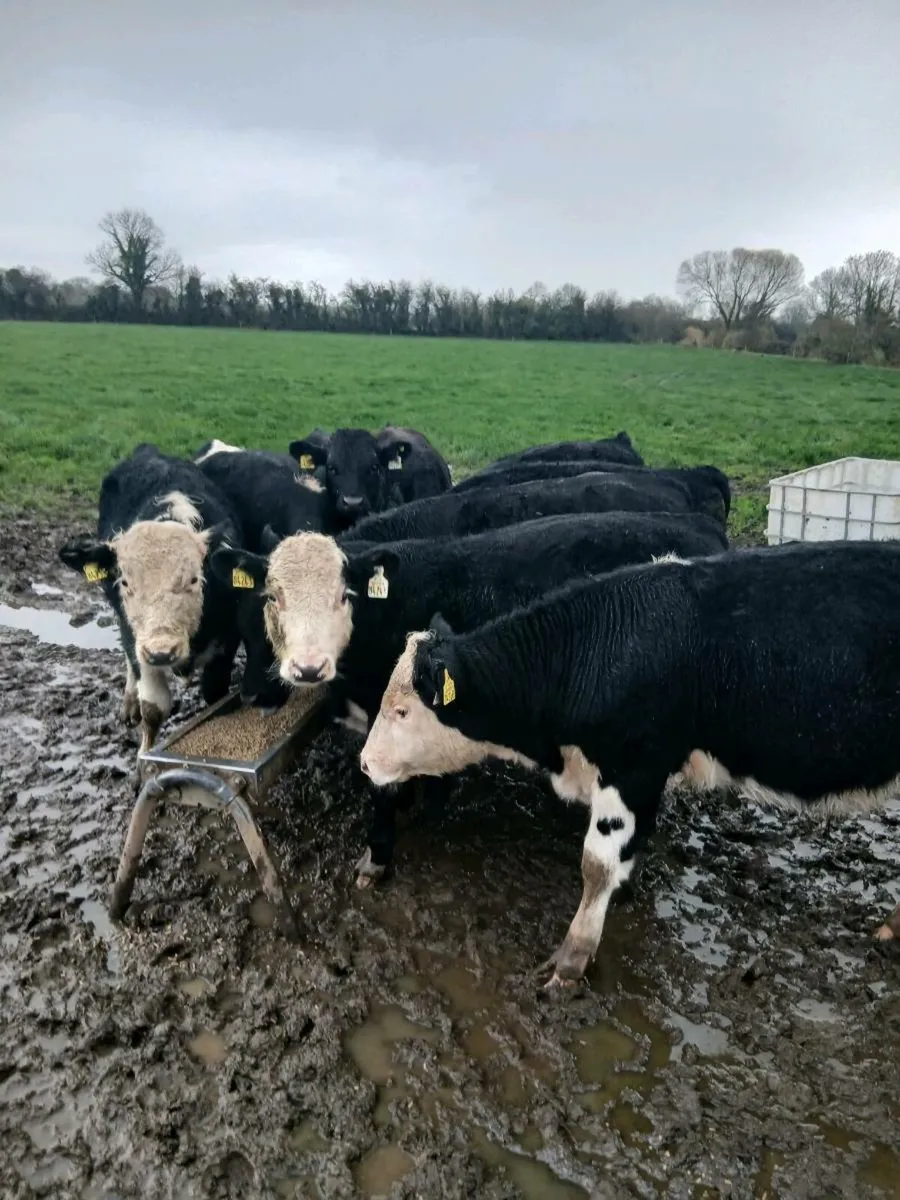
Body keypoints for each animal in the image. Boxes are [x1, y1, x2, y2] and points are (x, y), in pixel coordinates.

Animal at [58, 443, 244, 753]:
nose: (161, 652)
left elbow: (214, 693)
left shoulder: (227, 638)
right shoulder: (138, 640)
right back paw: (129, 704)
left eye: (194, 579)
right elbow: (154, 707)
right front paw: (143, 758)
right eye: (125, 581)